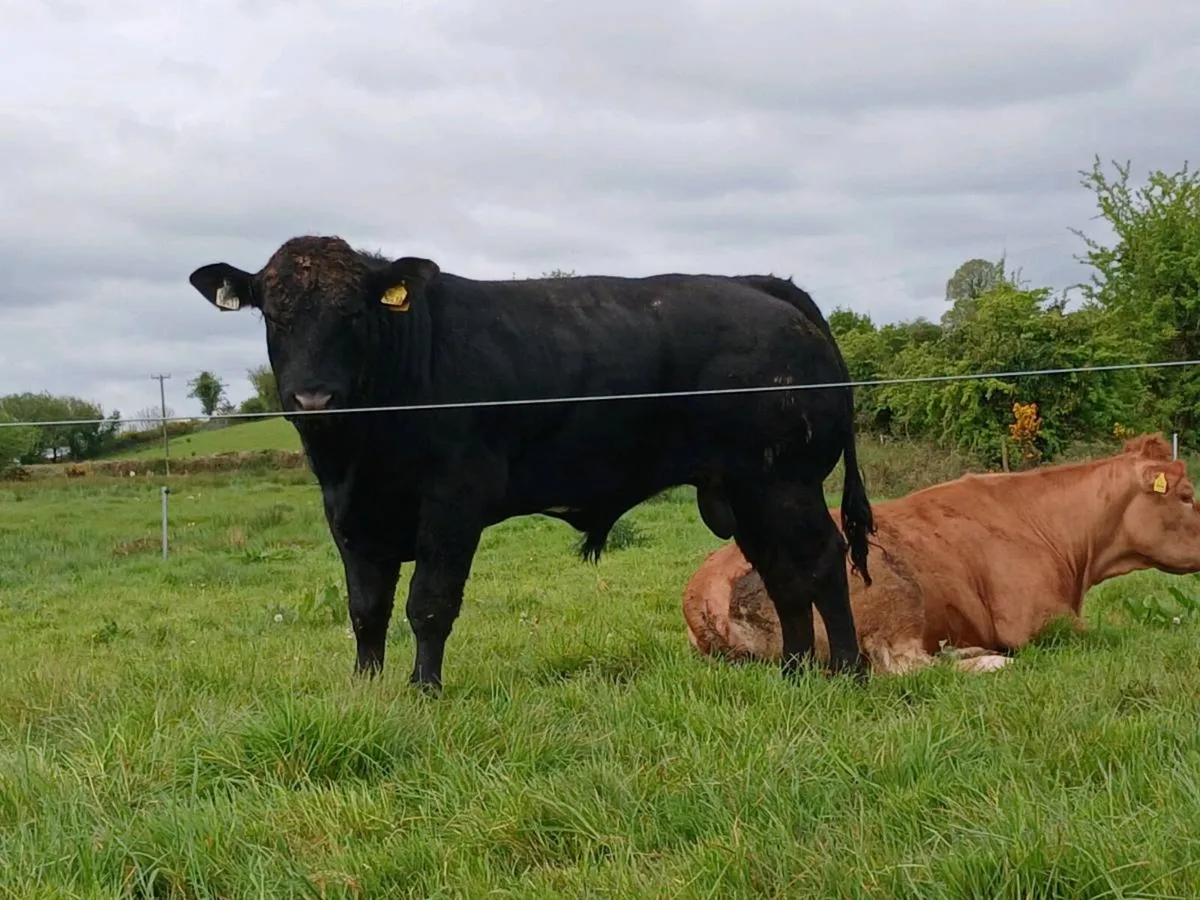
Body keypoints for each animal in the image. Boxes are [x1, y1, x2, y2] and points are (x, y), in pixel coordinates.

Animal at [187, 235, 875, 691]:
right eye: (275, 314)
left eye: (353, 312)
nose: (313, 399)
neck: (360, 449)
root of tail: (762, 285)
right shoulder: (351, 516)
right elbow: (366, 609)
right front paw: (366, 687)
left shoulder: (454, 501)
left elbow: (429, 603)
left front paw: (423, 690)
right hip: (748, 489)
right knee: (781, 574)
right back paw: (792, 672)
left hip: (785, 481)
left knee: (819, 560)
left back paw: (845, 670)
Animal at [682, 433, 1200, 676]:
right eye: (1187, 496)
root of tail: (703, 589)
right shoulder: (1043, 622)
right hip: (887, 586)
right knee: (906, 666)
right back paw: (989, 661)